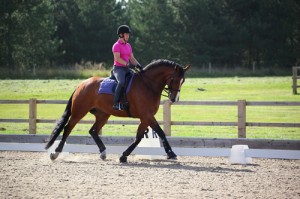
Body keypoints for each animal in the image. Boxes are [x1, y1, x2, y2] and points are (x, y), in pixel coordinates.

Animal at [45, 58, 190, 162]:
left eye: (183, 81)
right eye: (174, 79)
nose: (174, 99)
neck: (147, 85)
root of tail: (82, 84)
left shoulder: (145, 118)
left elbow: (138, 137)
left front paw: (124, 156)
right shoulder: (147, 115)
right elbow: (160, 133)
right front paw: (171, 153)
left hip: (103, 115)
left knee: (93, 131)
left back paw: (103, 152)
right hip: (79, 112)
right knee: (67, 129)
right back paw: (55, 153)